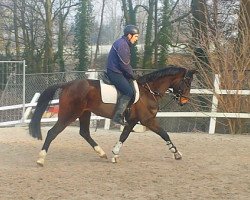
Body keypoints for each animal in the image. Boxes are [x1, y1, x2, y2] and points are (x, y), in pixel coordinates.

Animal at [29, 65, 197, 166]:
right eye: (188, 83)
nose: (184, 101)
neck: (148, 91)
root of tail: (67, 84)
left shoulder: (134, 121)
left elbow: (125, 136)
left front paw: (114, 154)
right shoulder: (147, 120)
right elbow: (163, 134)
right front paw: (177, 153)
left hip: (84, 113)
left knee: (84, 132)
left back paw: (101, 153)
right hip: (69, 114)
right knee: (52, 132)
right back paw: (41, 158)